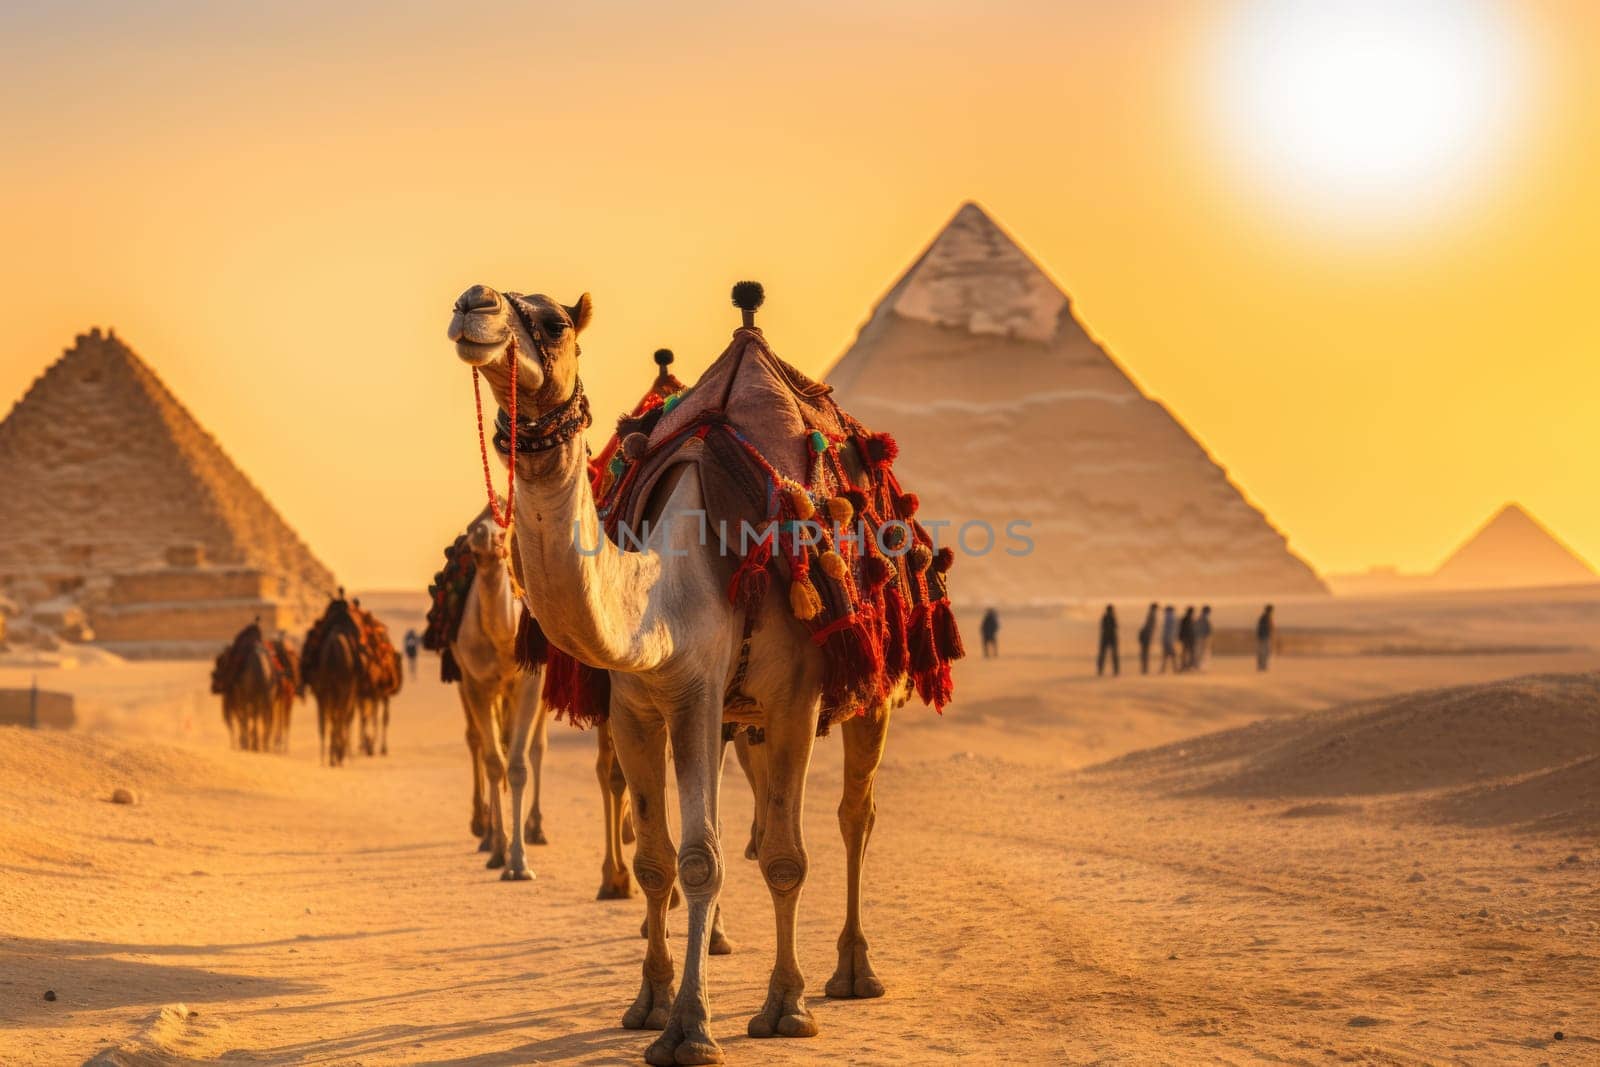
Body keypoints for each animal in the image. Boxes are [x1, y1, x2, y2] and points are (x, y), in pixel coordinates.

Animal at [451, 515, 550, 876]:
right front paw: (499, 850)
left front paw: (519, 862)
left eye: (503, 531)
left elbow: (519, 764)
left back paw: (536, 828)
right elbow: (494, 762)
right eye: (473, 531)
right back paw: (486, 831)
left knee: (535, 748)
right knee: (479, 743)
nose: (484, 534)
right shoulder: (476, 682)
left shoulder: (531, 682)